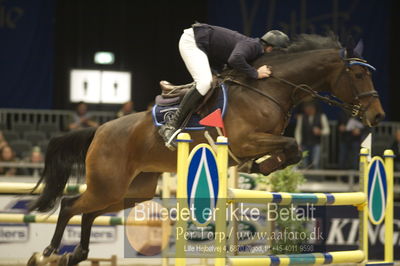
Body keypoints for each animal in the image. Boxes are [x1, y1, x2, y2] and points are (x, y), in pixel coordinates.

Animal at [27, 34, 384, 266]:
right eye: (357, 73)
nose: (378, 116)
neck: (270, 87)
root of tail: (100, 130)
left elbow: (290, 153)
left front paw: (260, 168)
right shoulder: (245, 140)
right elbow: (292, 146)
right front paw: (258, 166)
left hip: (132, 191)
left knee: (88, 212)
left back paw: (76, 255)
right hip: (108, 184)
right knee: (70, 205)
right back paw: (48, 253)